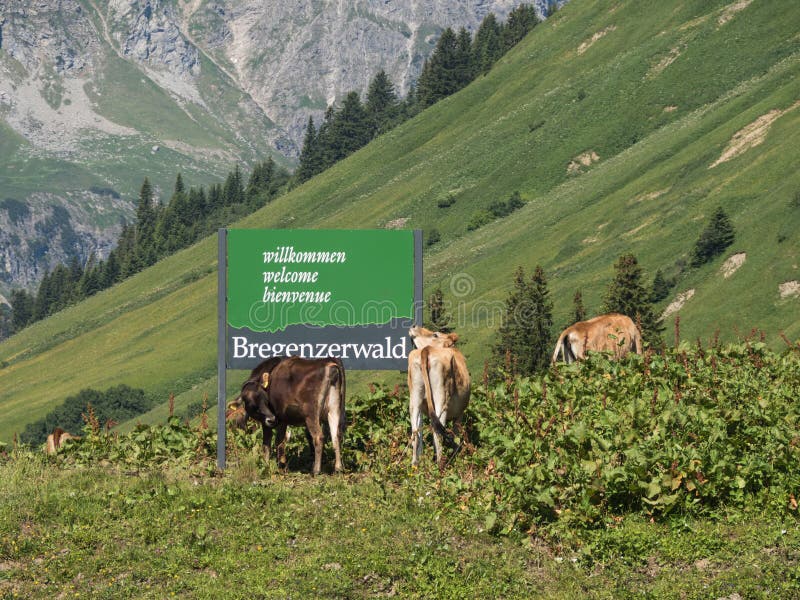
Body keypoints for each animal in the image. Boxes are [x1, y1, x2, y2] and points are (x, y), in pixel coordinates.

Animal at [410, 326, 472, 466]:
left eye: (435, 334)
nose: (413, 326)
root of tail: (427, 349)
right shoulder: (459, 414)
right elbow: (456, 434)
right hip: (442, 399)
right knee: (437, 430)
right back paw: (440, 465)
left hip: (414, 397)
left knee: (415, 431)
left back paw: (414, 465)